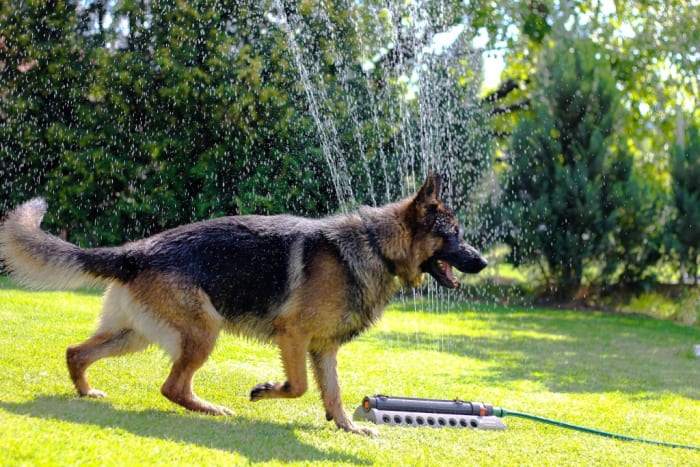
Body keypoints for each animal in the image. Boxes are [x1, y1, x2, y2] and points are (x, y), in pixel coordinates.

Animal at [0, 175, 486, 436]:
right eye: (454, 236)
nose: (482, 261)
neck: (376, 246)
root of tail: (134, 251)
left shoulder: (323, 349)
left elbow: (332, 393)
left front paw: (347, 427)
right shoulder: (293, 335)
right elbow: (300, 386)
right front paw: (265, 390)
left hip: (133, 335)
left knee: (76, 352)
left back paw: (86, 393)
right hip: (203, 331)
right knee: (171, 387)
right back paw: (212, 410)